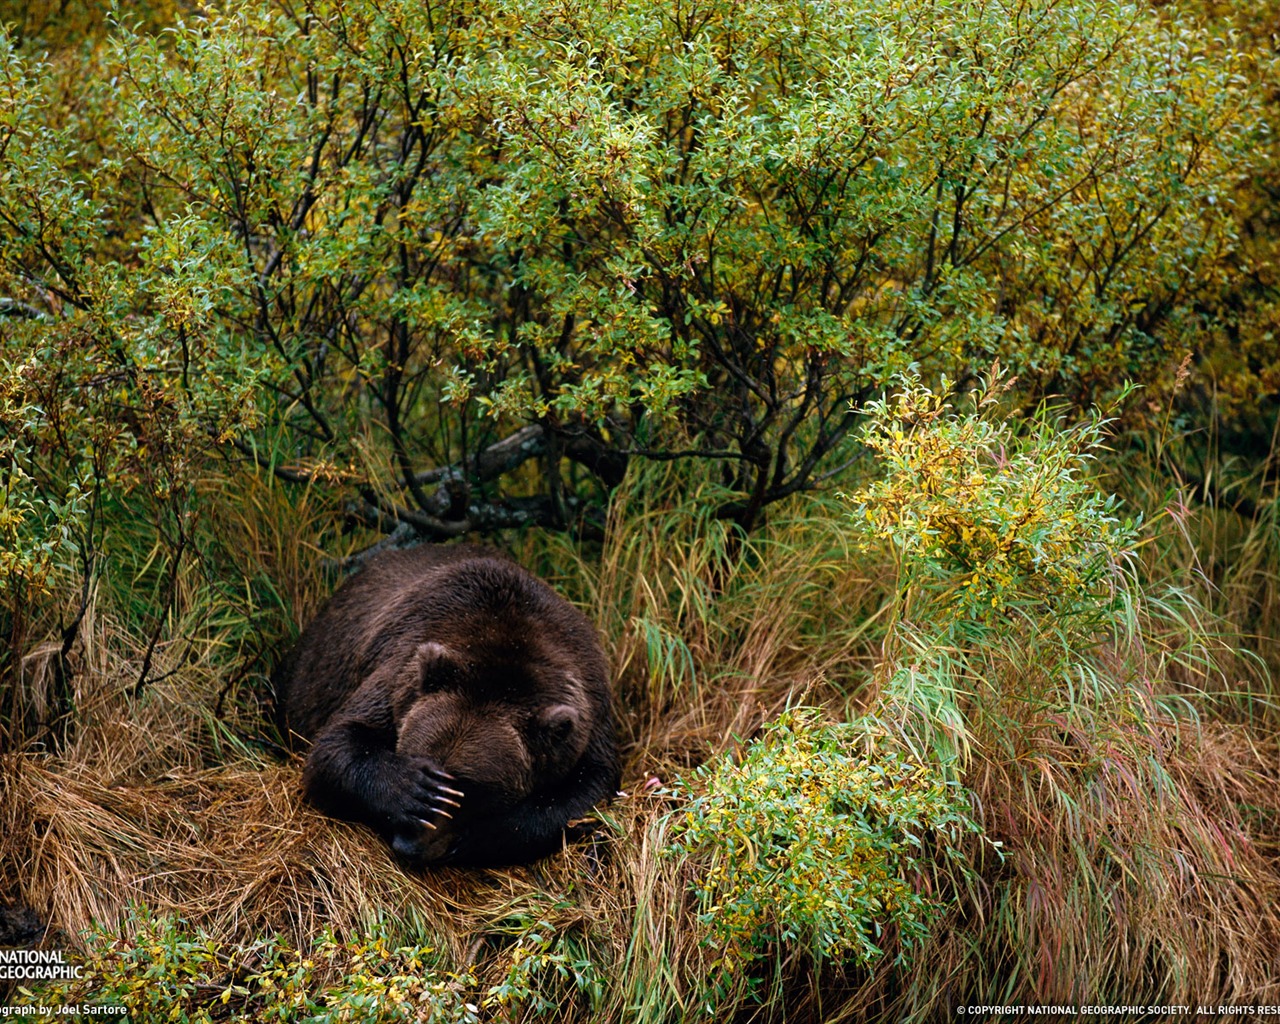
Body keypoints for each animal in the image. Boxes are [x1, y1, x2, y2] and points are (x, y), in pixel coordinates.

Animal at [275, 540, 619, 870]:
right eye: (416, 757)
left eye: (469, 787)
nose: (409, 845)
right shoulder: (402, 671)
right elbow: (337, 744)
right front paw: (413, 790)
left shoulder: (587, 712)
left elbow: (588, 789)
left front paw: (477, 836)